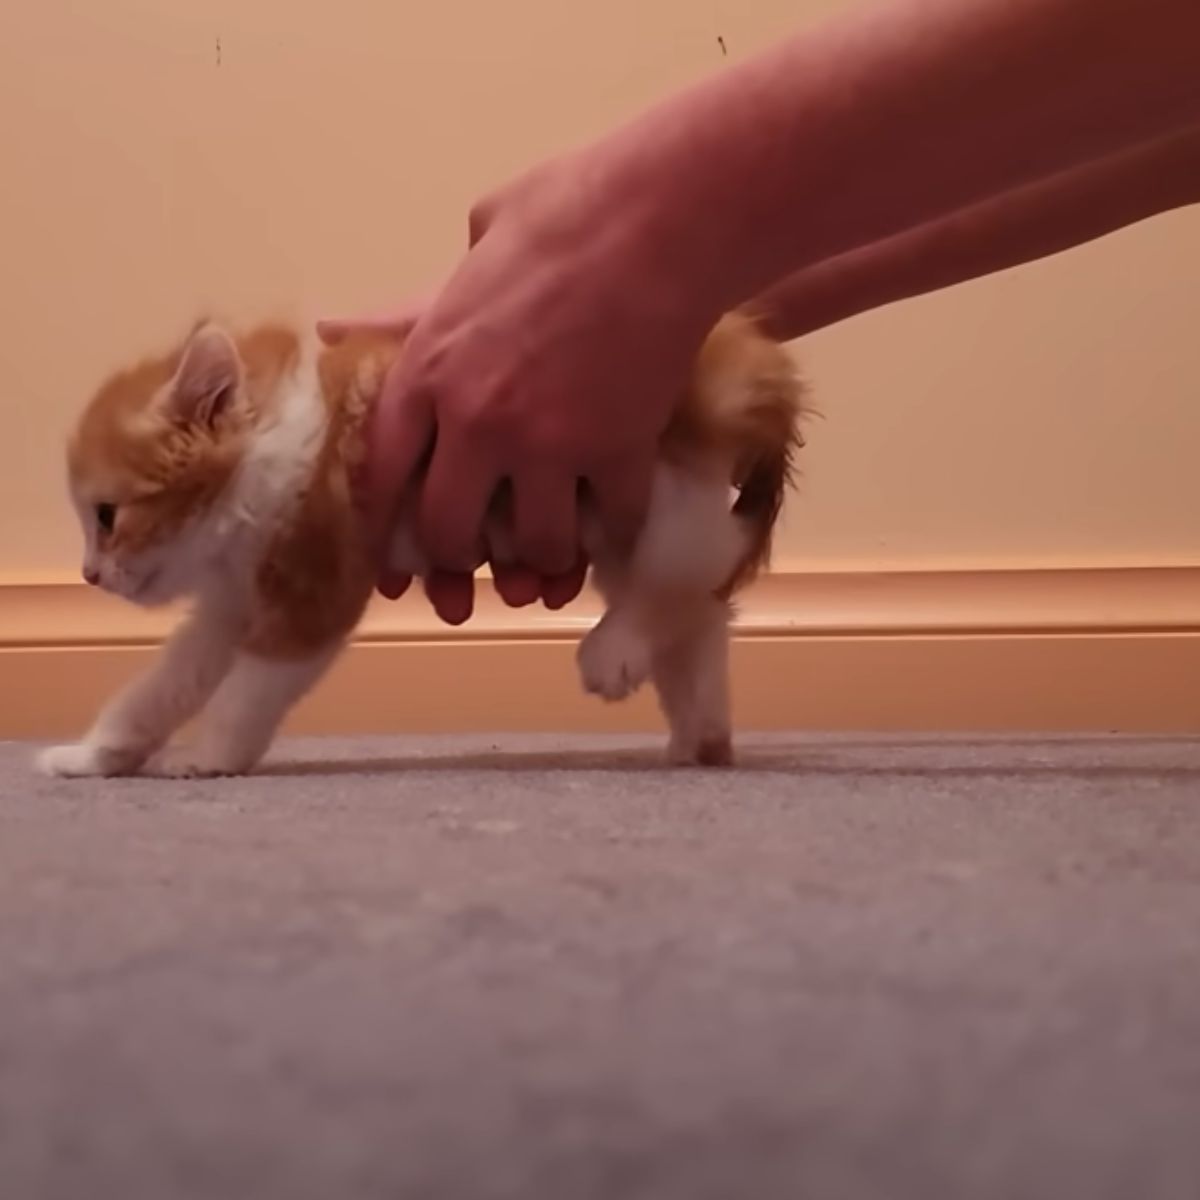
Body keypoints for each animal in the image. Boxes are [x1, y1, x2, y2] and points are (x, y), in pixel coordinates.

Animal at [37, 312, 806, 777]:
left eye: (106, 515)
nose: (90, 574)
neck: (266, 449)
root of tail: (728, 363)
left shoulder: (315, 585)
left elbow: (243, 694)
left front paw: (210, 758)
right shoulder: (230, 603)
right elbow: (163, 685)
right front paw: (92, 756)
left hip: (656, 503)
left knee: (678, 588)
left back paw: (614, 653)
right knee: (703, 612)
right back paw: (701, 736)